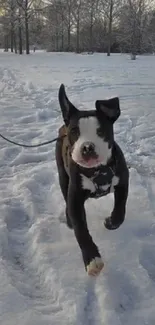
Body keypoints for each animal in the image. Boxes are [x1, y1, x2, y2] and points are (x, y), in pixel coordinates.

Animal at [55, 84, 129, 276]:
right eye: (74, 132)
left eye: (101, 131)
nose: (87, 147)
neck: (98, 170)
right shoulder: (75, 197)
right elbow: (81, 230)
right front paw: (92, 259)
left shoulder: (123, 181)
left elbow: (120, 209)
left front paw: (111, 222)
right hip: (62, 174)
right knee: (64, 193)